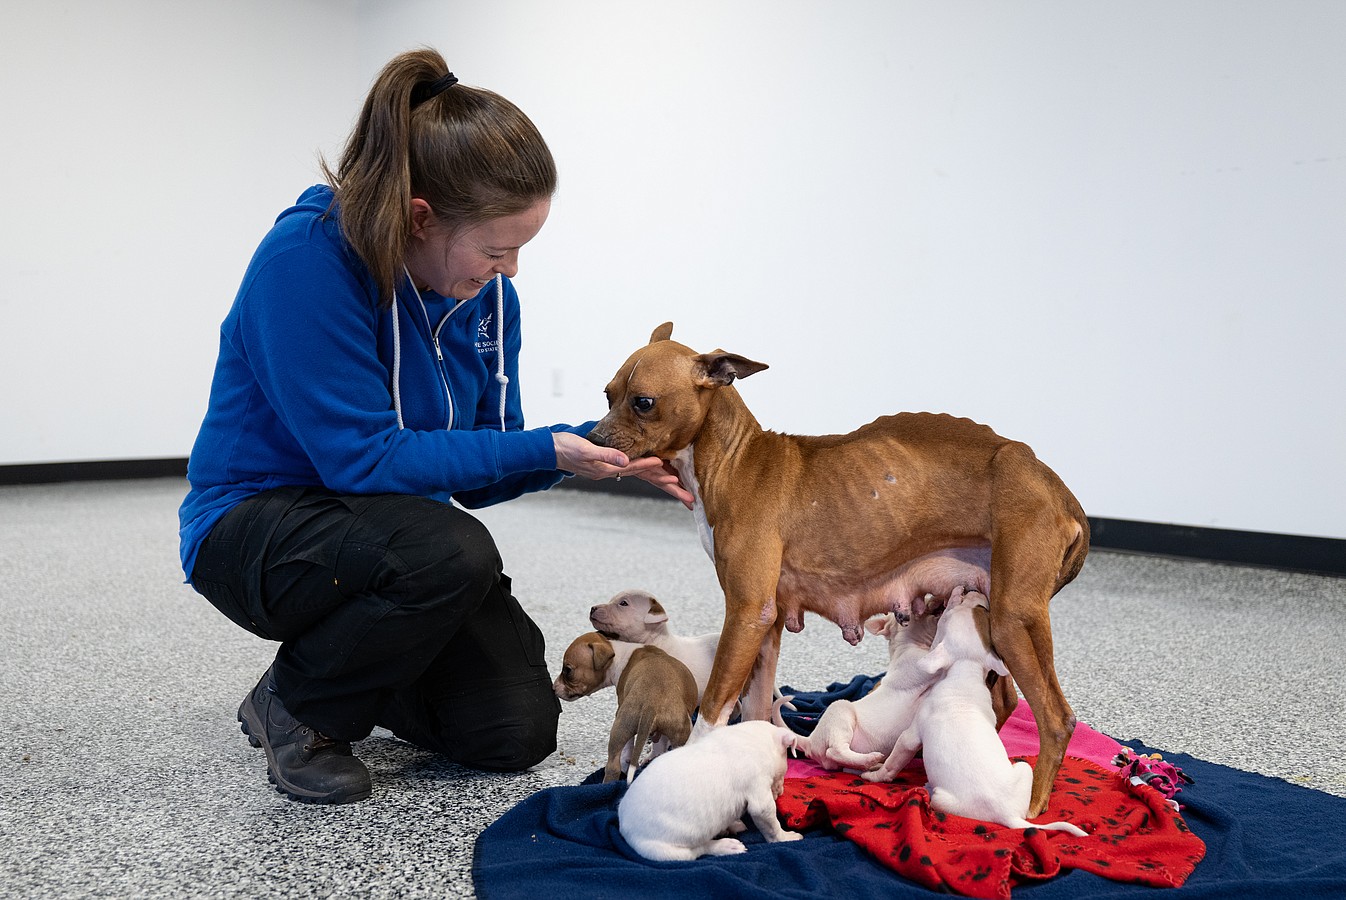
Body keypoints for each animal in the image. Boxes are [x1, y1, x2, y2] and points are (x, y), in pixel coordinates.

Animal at [616, 721, 802, 860]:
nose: (780, 792)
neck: (751, 737)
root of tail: (623, 823)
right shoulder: (760, 797)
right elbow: (773, 827)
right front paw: (787, 838)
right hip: (667, 851)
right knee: (700, 849)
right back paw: (726, 845)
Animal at [791, 602, 942, 774]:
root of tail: (810, 740)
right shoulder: (920, 661)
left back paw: (872, 765)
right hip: (840, 712)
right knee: (835, 750)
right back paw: (870, 759)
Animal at [866, 586, 1087, 834]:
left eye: (952, 610)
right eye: (982, 611)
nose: (972, 590)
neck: (965, 672)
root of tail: (1009, 816)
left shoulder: (911, 735)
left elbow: (894, 760)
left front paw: (874, 774)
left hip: (942, 798)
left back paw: (927, 787)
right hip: (1023, 768)